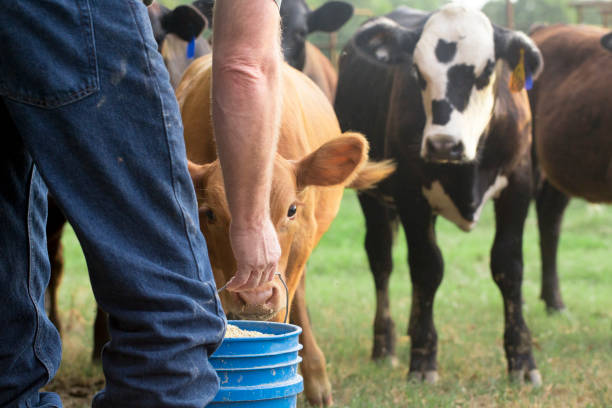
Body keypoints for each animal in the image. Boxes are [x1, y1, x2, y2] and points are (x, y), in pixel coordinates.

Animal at [334, 4, 544, 384]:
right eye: (417, 71)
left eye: (487, 70)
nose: (443, 143)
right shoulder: (411, 194)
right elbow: (427, 268)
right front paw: (422, 358)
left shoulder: (519, 186)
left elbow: (508, 267)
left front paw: (522, 360)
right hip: (371, 196)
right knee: (382, 261)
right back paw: (385, 344)